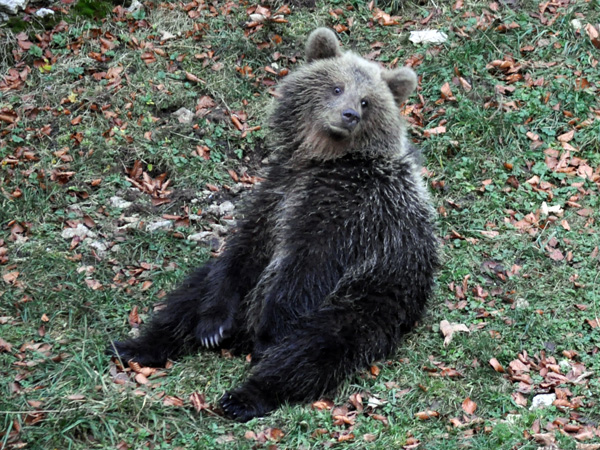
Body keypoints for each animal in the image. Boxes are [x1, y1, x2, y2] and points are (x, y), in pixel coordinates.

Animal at [109, 27, 436, 422]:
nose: (348, 115)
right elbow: (244, 250)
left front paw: (268, 335)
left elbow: (308, 266)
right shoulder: (278, 189)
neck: (323, 159)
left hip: (369, 300)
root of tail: (241, 340)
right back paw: (135, 346)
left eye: (367, 101)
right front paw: (211, 327)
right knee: (190, 294)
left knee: (314, 348)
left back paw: (244, 395)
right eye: (337, 87)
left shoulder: (352, 210)